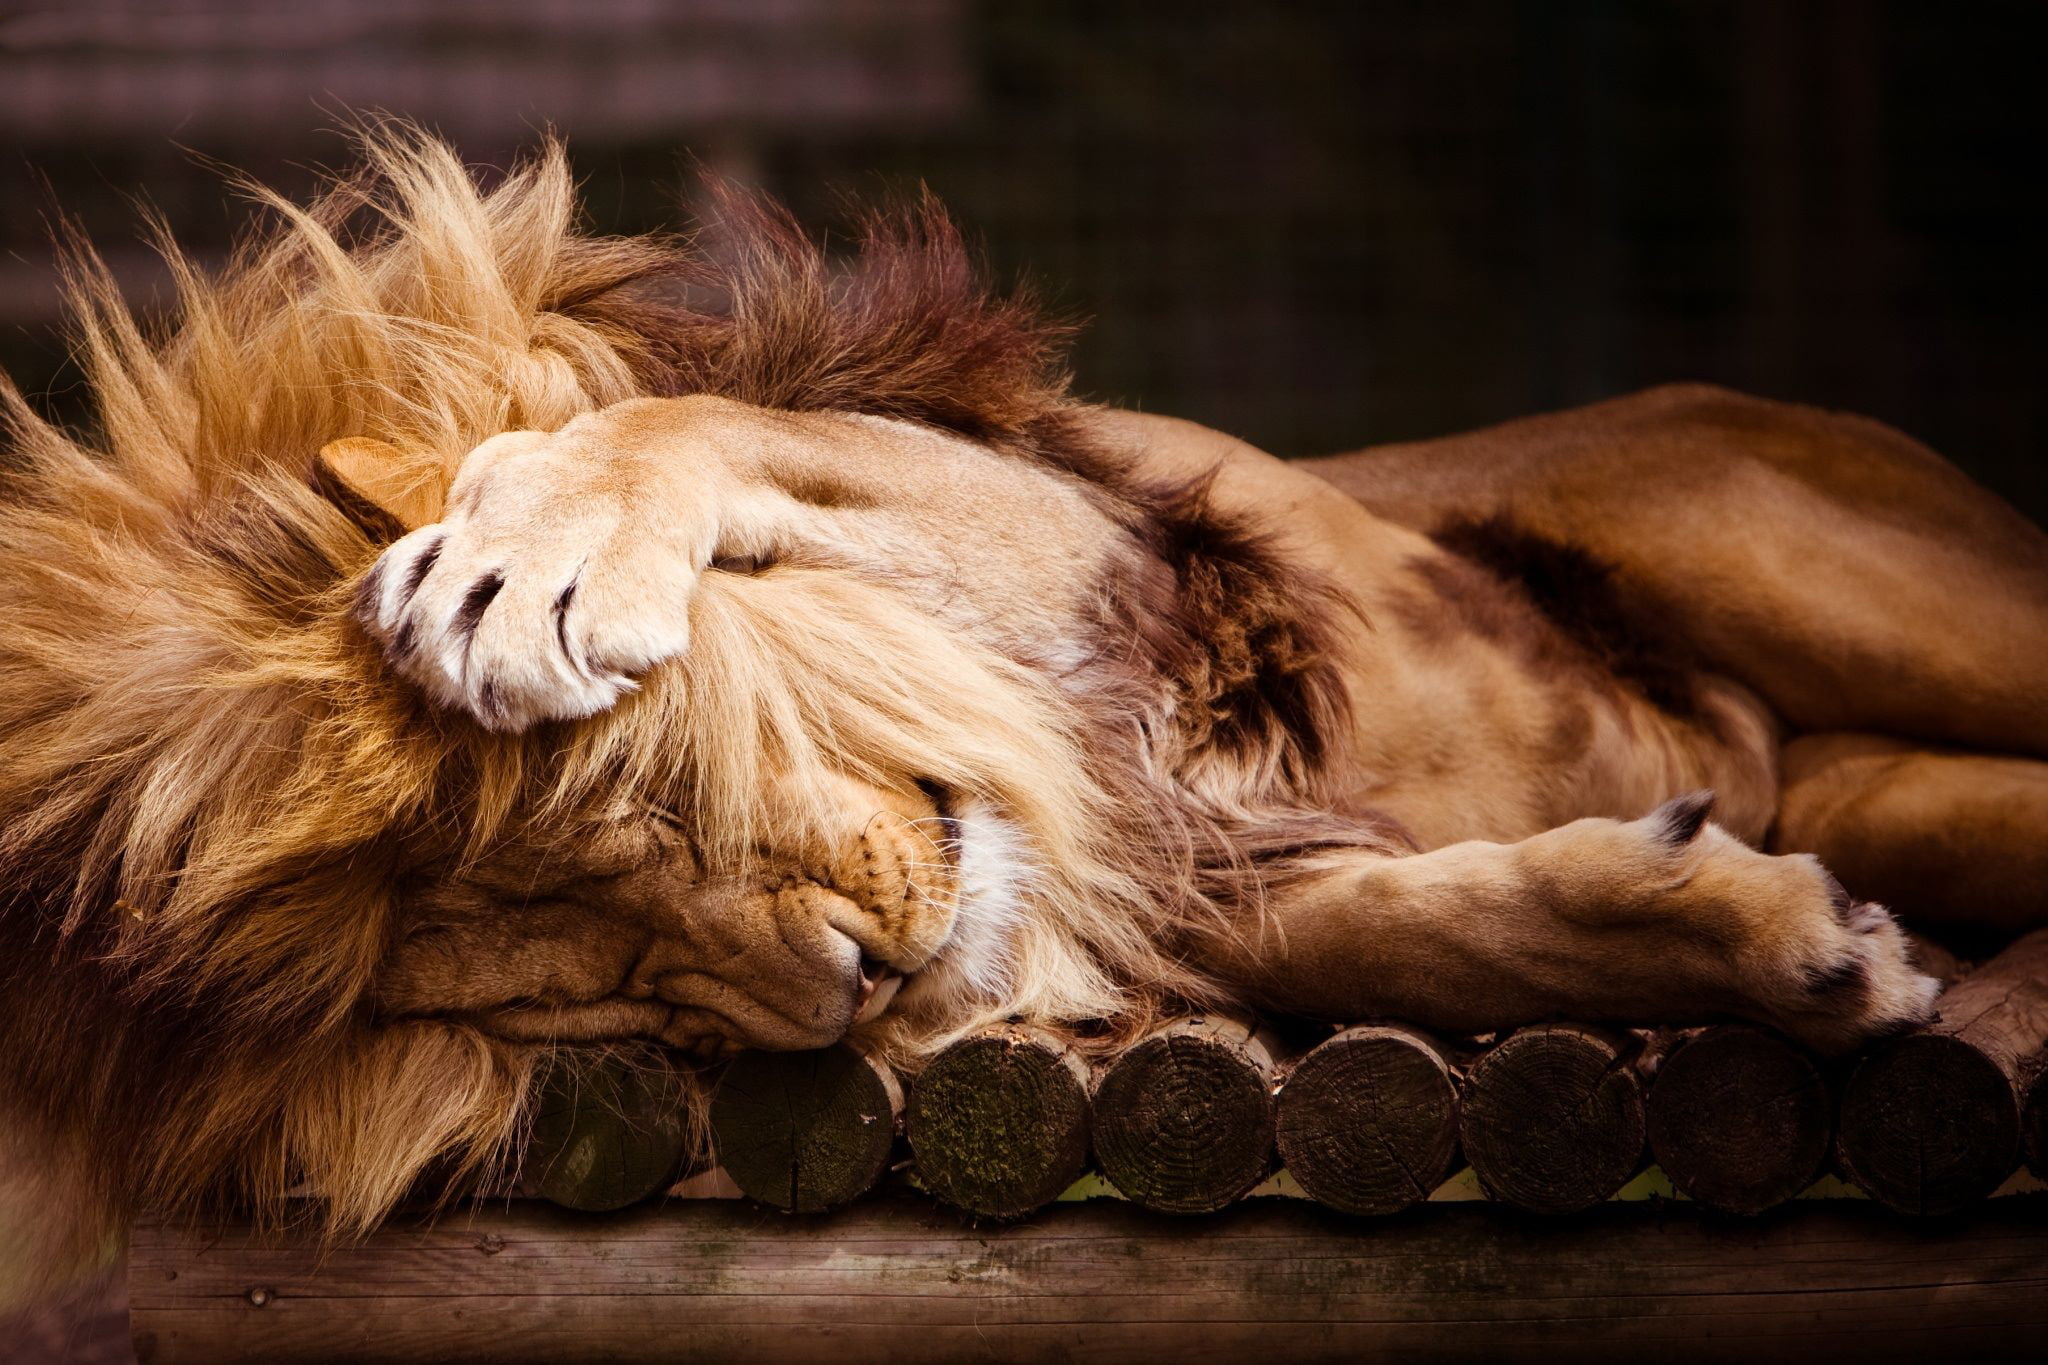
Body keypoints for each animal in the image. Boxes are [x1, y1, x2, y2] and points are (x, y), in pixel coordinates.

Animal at [4, 125, 2045, 1290]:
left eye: (617, 790)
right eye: (592, 993)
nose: (856, 988)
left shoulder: (1081, 532)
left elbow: (687, 422)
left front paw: (528, 548)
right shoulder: (1237, 878)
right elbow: (1461, 931)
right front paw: (1791, 957)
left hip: (1776, 548)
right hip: (1892, 782)